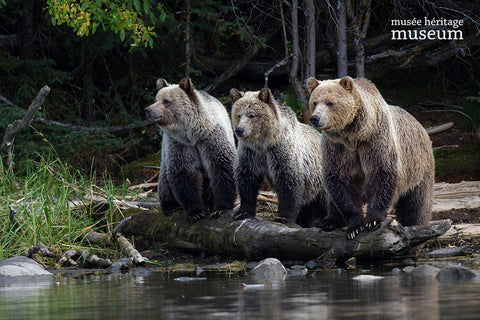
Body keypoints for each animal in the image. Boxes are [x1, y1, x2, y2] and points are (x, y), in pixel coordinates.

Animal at [145, 78, 237, 222]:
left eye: (166, 101)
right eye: (156, 99)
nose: (148, 109)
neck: (193, 133)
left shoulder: (210, 138)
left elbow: (221, 166)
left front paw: (220, 208)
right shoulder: (179, 144)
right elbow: (184, 173)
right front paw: (196, 212)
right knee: (164, 182)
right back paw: (171, 206)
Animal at [308, 76, 436, 239]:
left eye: (330, 103)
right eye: (314, 102)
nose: (315, 118)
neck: (354, 135)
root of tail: (421, 125)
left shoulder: (375, 141)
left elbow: (380, 173)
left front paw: (372, 220)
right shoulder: (337, 148)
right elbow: (341, 180)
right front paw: (354, 226)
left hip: (418, 168)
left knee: (417, 205)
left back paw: (417, 226)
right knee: (331, 197)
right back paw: (328, 221)